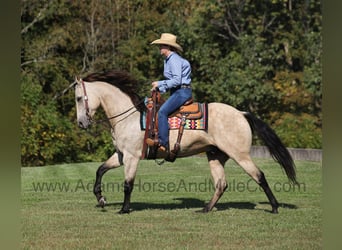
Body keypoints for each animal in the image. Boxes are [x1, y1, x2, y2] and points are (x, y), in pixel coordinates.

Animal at [73, 69, 296, 214]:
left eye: (78, 98)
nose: (81, 123)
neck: (130, 117)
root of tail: (241, 113)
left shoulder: (132, 157)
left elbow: (128, 184)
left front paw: (124, 209)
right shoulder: (120, 155)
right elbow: (100, 170)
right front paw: (101, 198)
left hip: (240, 155)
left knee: (259, 176)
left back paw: (274, 207)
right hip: (216, 156)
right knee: (221, 184)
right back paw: (206, 209)